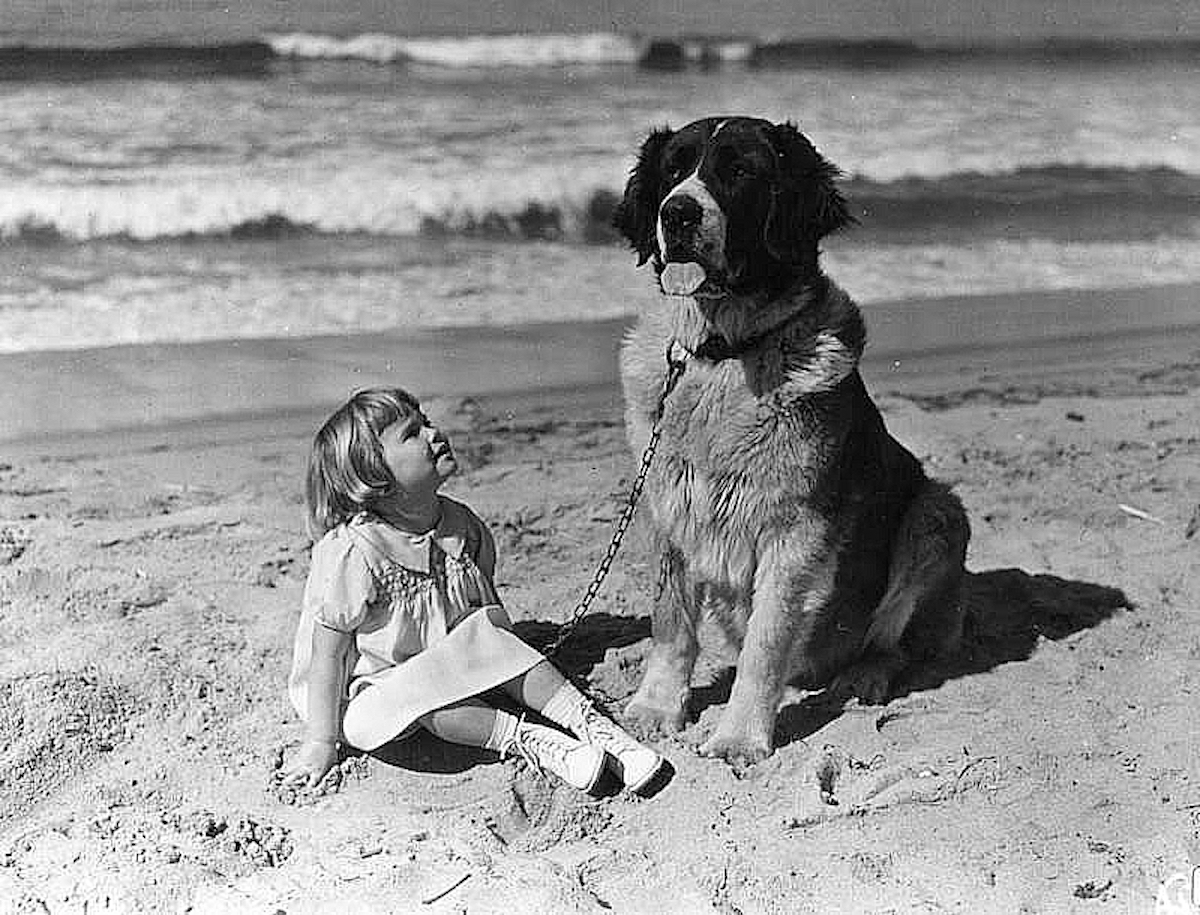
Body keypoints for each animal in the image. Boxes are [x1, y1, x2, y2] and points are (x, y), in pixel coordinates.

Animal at [614, 117, 969, 768]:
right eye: (674, 169)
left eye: (739, 172)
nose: (677, 213)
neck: (723, 354)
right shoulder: (667, 508)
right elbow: (671, 623)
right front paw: (657, 707)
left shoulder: (795, 532)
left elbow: (766, 639)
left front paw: (739, 737)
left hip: (936, 514)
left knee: (892, 638)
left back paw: (864, 676)